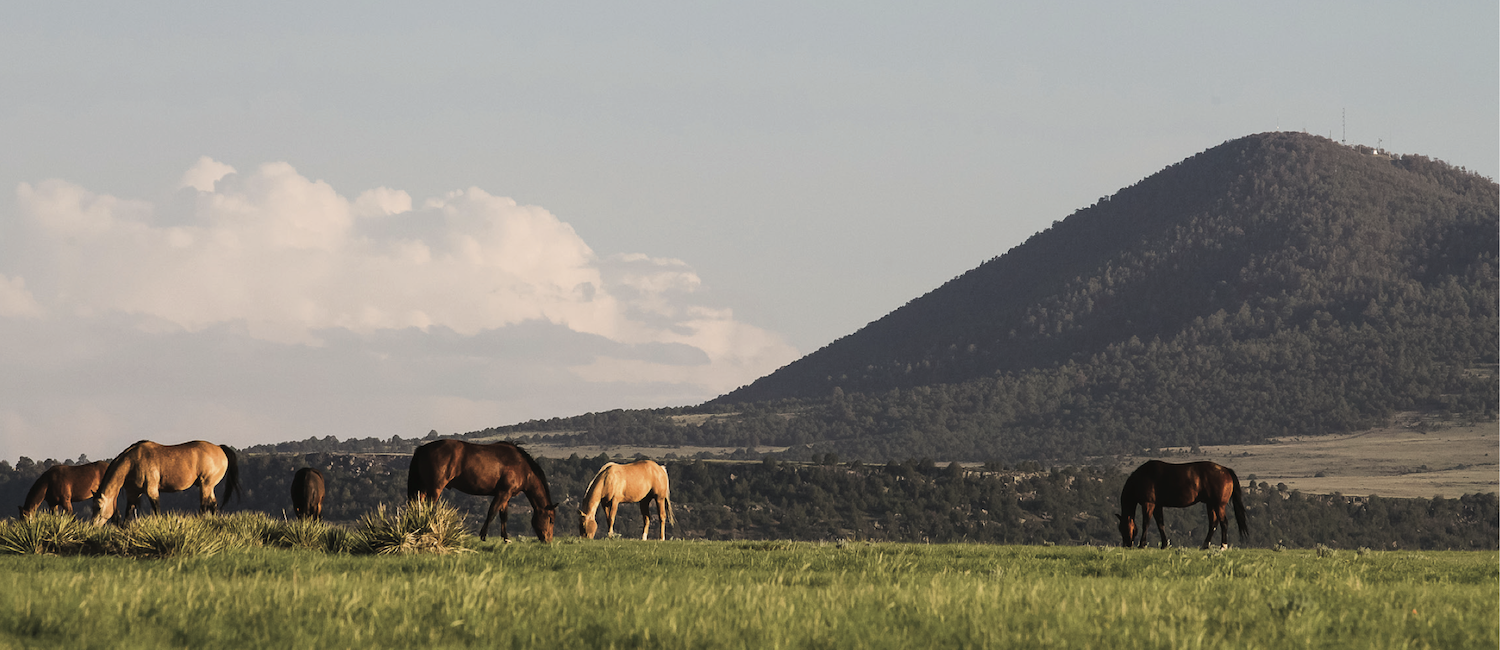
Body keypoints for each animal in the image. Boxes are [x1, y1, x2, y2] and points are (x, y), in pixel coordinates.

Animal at [90, 440, 240, 525]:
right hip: (209, 487)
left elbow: (156, 510)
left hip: (205, 485)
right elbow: (128, 513)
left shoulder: (151, 490)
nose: (93, 525)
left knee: (204, 506)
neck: (133, 462)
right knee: (213, 505)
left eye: (99, 507)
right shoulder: (133, 493)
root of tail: (219, 448)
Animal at [406, 439, 558, 543]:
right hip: (435, 488)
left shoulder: (506, 495)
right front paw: (483, 535)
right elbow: (492, 512)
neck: (521, 466)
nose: (548, 541)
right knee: (428, 508)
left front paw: (505, 538)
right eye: (551, 519)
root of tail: (423, 448)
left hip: (423, 489)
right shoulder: (503, 493)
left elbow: (504, 516)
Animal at [1116, 460, 1247, 549]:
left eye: (1123, 528)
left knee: (1224, 522)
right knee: (1213, 524)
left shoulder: (1148, 504)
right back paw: (1204, 546)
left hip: (1219, 505)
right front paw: (1164, 545)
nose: (1126, 545)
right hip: (1211, 504)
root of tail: (1225, 470)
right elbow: (1160, 524)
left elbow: (1146, 523)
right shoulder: (1157, 505)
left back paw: (1223, 546)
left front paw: (1142, 544)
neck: (1142, 477)